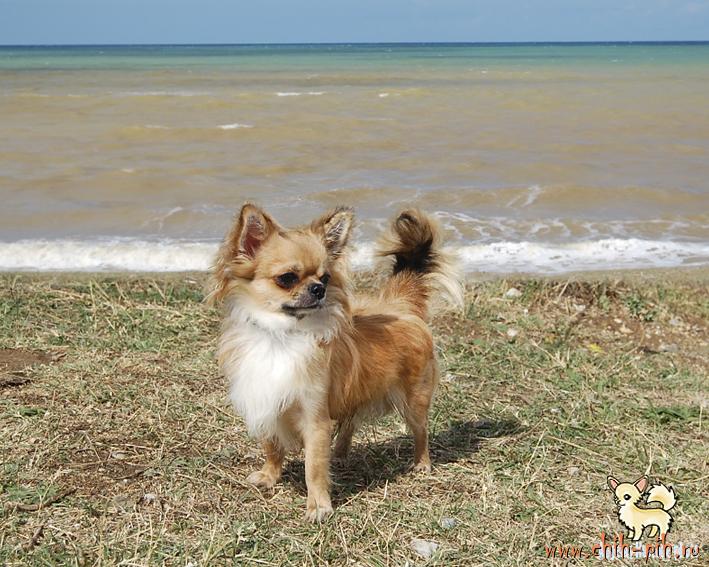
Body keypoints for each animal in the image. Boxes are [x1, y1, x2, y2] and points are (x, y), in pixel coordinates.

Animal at [209, 203, 462, 521]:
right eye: (287, 278)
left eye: (325, 278)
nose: (319, 288)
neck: (282, 335)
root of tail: (400, 304)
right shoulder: (266, 400)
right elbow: (272, 446)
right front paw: (269, 476)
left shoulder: (314, 418)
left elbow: (314, 467)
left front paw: (319, 506)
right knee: (350, 421)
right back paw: (340, 454)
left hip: (413, 400)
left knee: (421, 432)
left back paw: (421, 463)